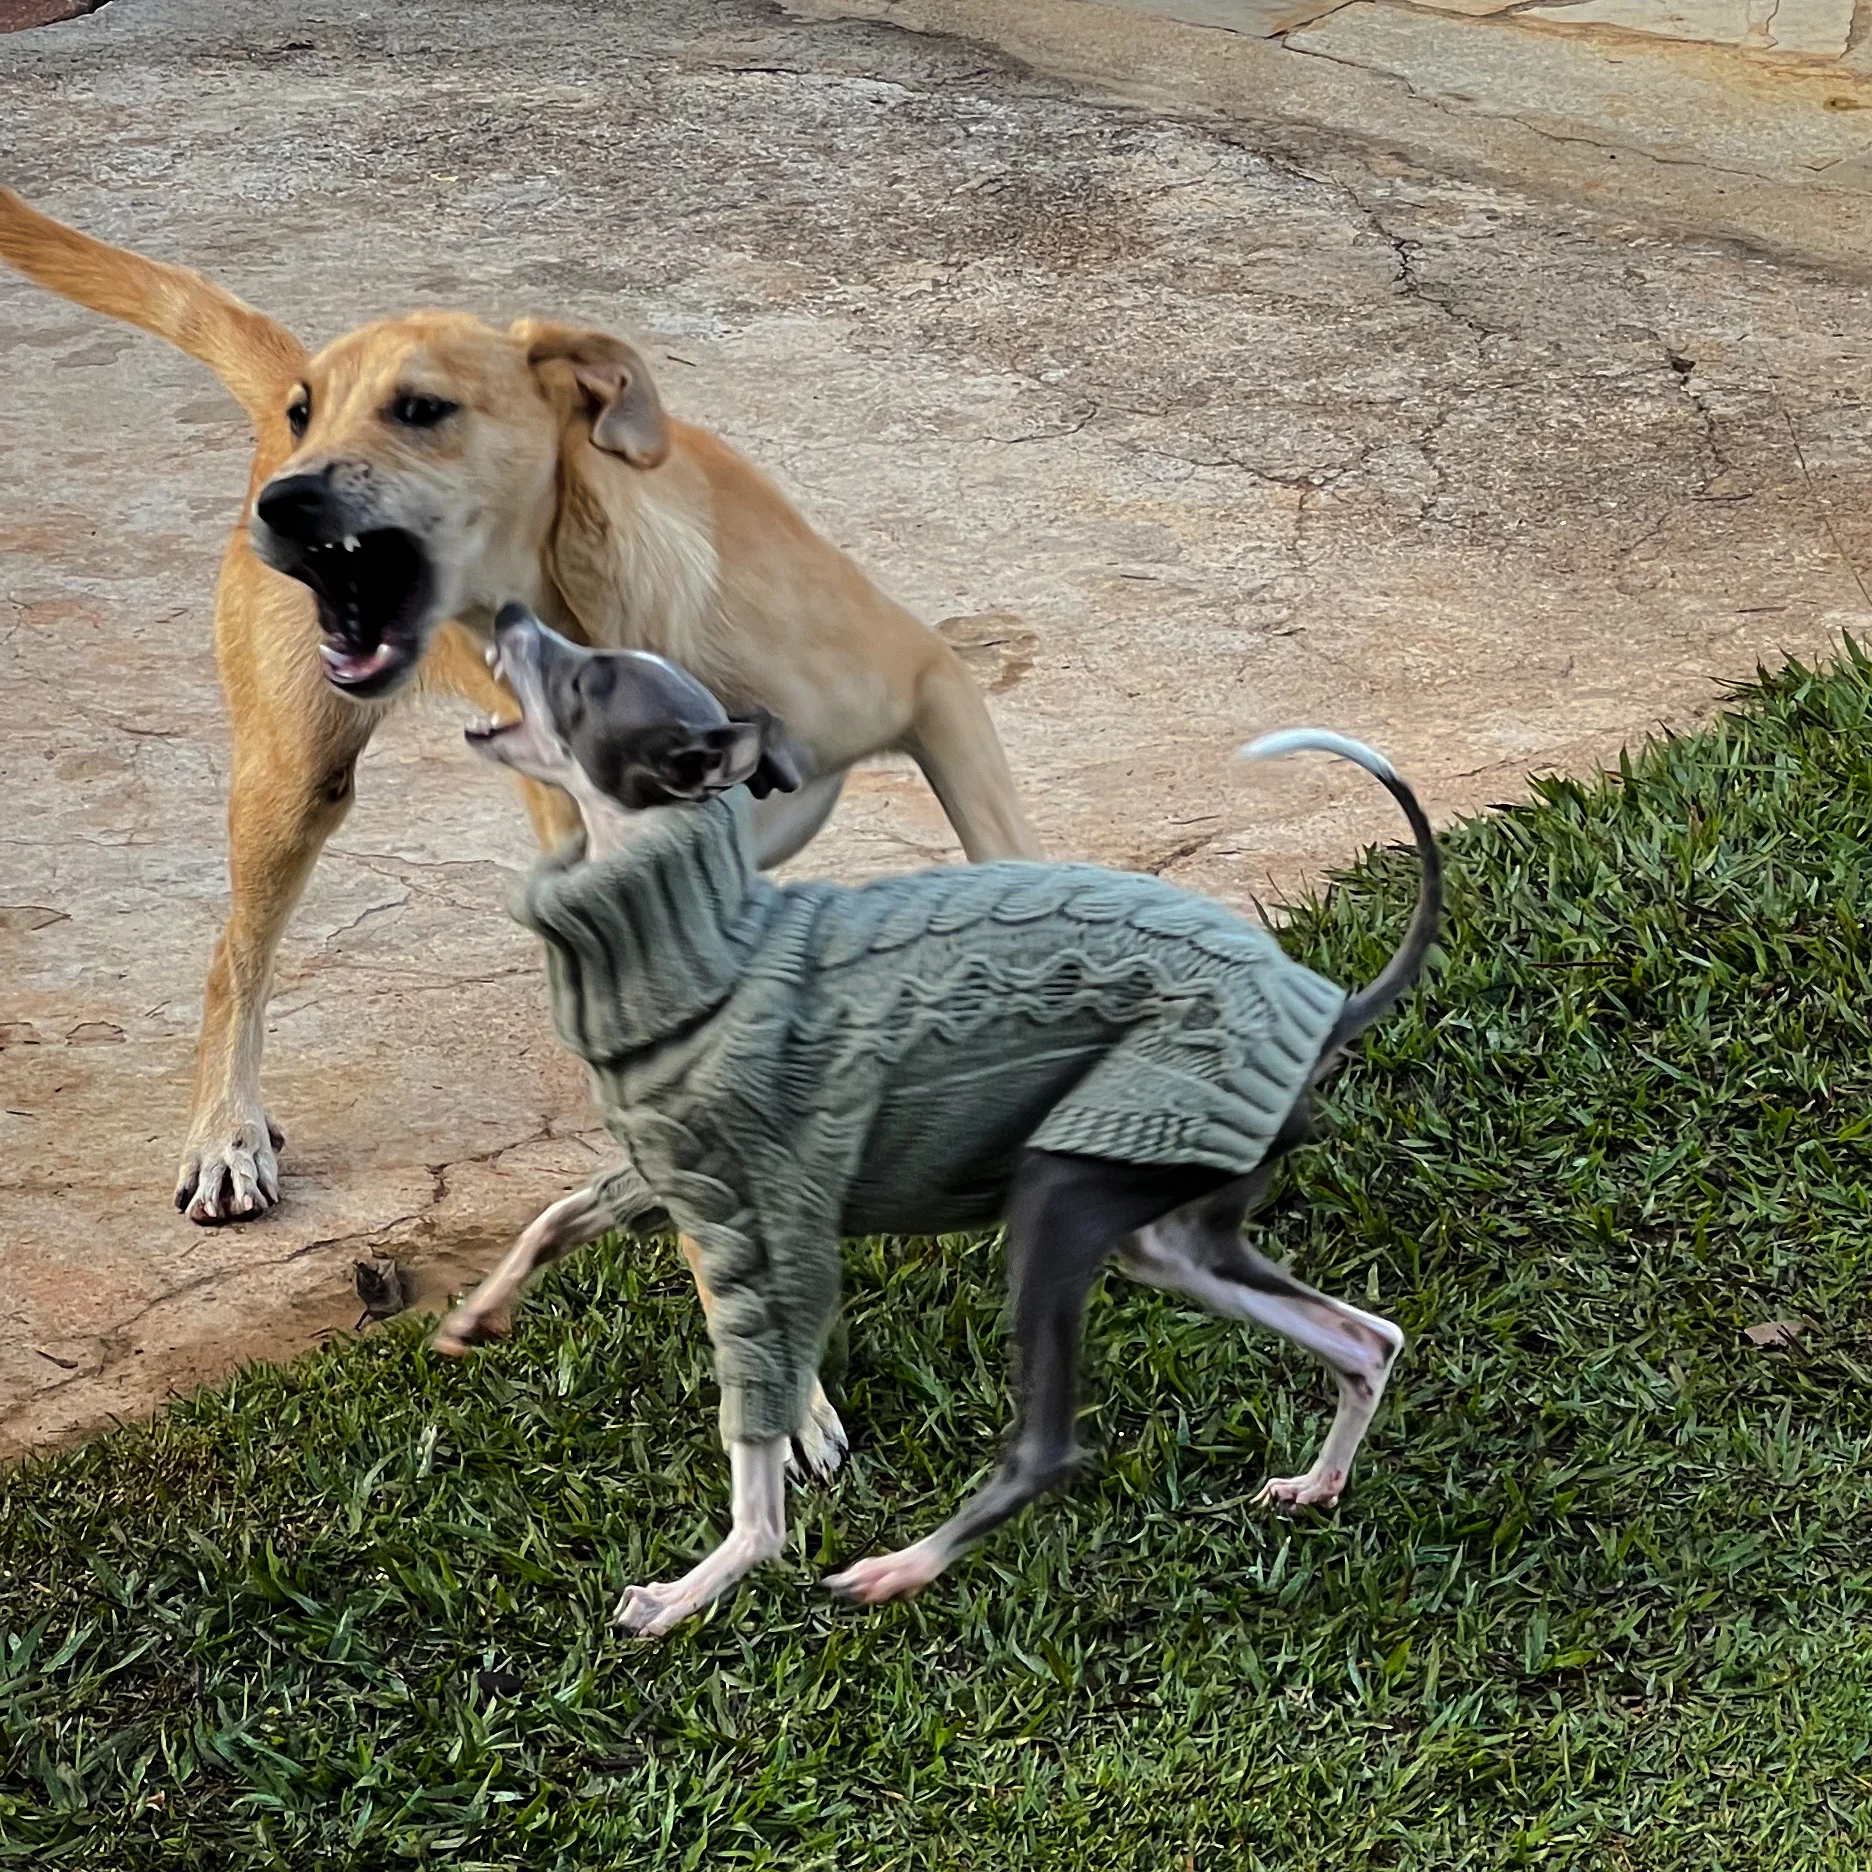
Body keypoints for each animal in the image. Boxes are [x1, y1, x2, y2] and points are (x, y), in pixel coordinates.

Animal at [0, 193, 1040, 1243]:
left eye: (422, 409)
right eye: (309, 409)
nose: (285, 504)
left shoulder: (932, 689)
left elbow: (1012, 863)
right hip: (295, 784)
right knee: (232, 961)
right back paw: (226, 1134)